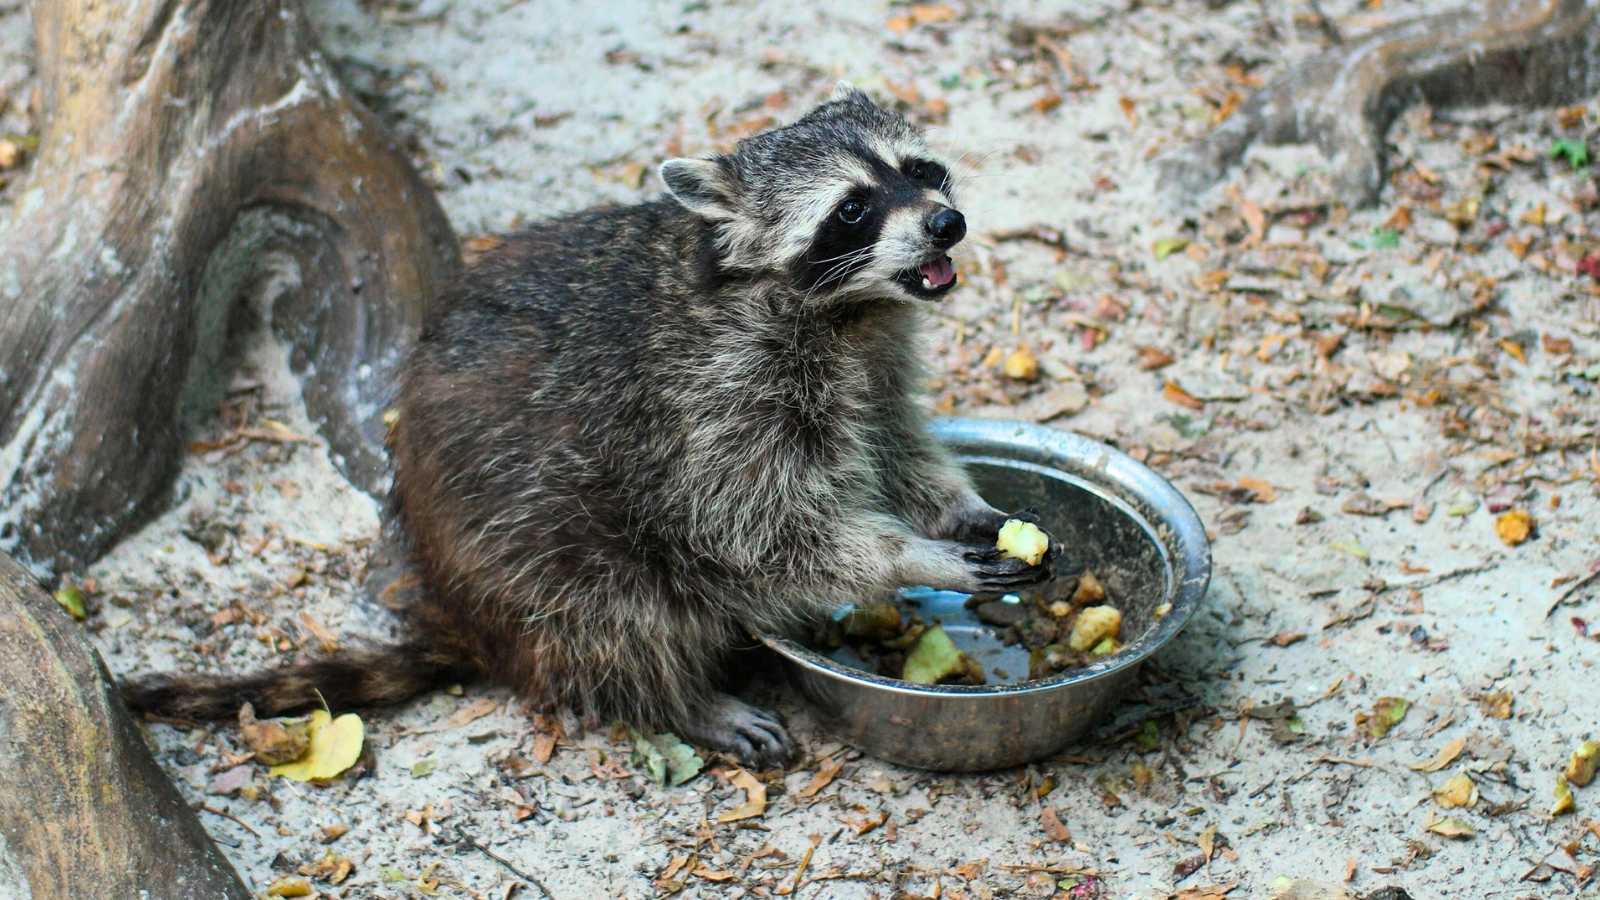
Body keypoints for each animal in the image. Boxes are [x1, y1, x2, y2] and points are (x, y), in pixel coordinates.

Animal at [123, 84, 1059, 767]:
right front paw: (908, 554)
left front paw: (957, 509)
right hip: (531, 543)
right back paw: (681, 699)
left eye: (921, 167)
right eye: (853, 209)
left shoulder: (874, 357)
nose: (945, 221)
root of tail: (469, 616)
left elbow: (892, 440)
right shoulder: (713, 398)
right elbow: (758, 527)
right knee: (613, 609)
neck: (845, 309)